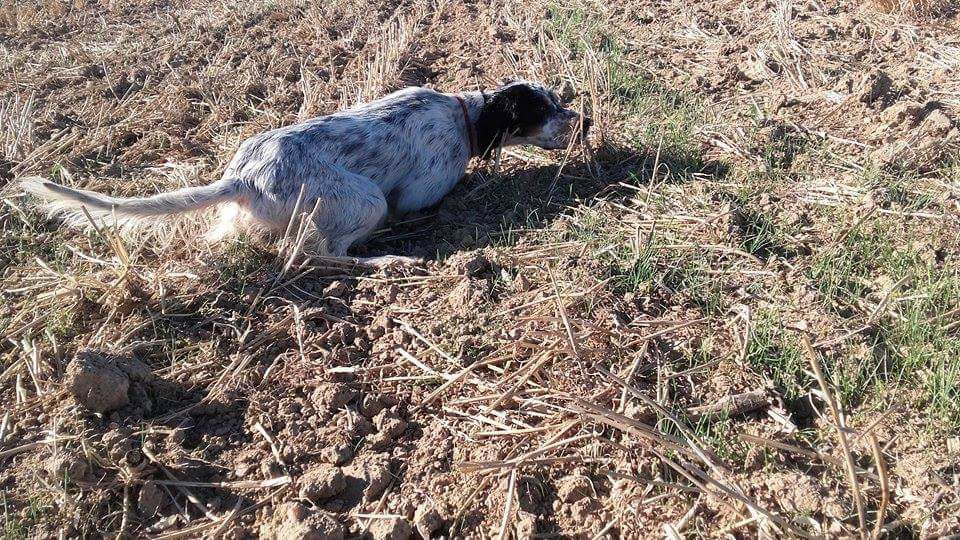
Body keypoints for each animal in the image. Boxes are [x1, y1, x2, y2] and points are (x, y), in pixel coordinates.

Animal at [22, 80, 588, 264]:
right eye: (544, 109)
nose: (582, 121)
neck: (463, 116)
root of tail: (244, 176)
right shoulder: (416, 192)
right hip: (365, 199)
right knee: (321, 254)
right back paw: (390, 261)